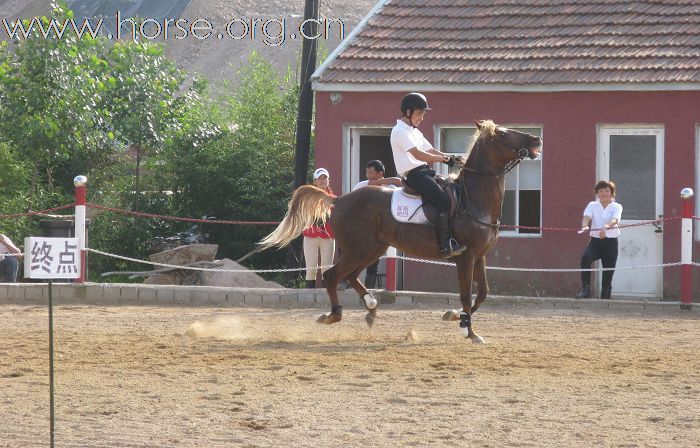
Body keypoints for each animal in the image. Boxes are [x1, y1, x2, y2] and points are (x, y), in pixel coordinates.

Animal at [262, 120, 540, 344]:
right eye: (502, 134)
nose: (535, 139)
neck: (473, 199)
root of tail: (338, 200)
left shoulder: (479, 256)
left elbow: (482, 293)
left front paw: (455, 317)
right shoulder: (465, 257)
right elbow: (465, 294)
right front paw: (468, 331)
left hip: (374, 249)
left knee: (350, 276)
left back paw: (371, 305)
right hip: (358, 249)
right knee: (333, 275)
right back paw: (334, 315)